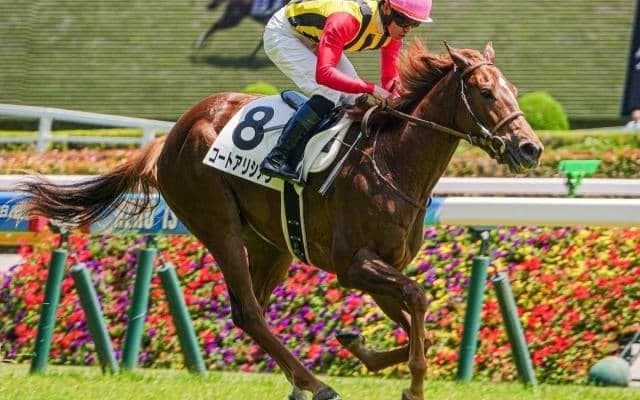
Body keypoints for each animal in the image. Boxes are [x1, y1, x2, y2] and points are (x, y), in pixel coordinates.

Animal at [19, 40, 543, 400]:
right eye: (484, 92)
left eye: (514, 91)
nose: (530, 148)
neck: (392, 162)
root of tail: (170, 136)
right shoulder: (354, 265)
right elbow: (417, 299)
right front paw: (412, 385)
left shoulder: (377, 268)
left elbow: (419, 321)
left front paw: (358, 343)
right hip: (219, 225)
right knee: (249, 311)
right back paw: (317, 383)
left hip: (272, 246)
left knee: (252, 312)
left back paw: (303, 380)